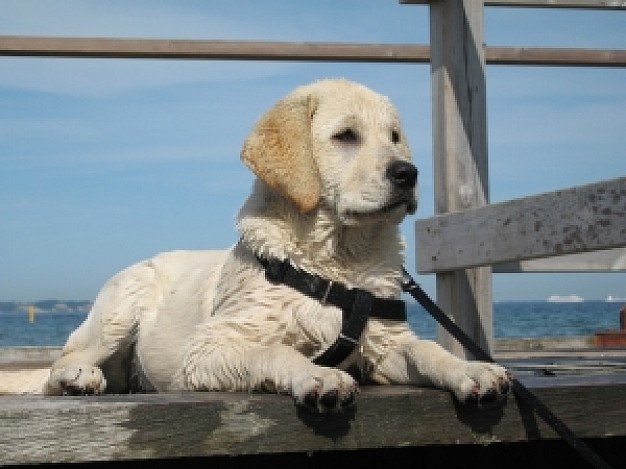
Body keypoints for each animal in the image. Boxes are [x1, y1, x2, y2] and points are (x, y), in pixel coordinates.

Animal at [1, 78, 508, 412]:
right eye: (346, 136)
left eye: (395, 136)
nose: (408, 173)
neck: (333, 263)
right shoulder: (209, 348)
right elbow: (275, 351)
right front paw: (316, 374)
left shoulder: (385, 343)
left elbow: (429, 352)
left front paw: (473, 370)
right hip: (122, 303)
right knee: (59, 364)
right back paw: (77, 378)